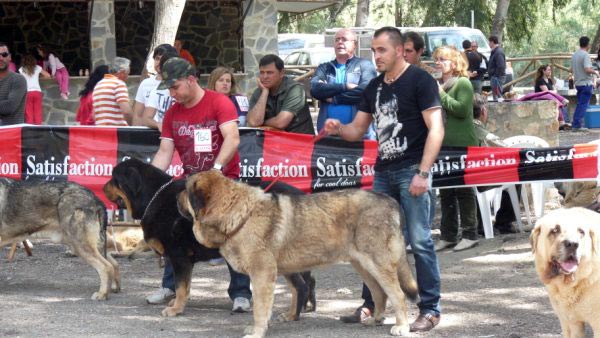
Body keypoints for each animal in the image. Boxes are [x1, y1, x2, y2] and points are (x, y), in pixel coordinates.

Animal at [105, 158, 316, 316]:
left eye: (114, 178)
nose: (103, 186)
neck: (152, 196)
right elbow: (182, 284)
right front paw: (175, 302)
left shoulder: (178, 255)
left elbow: (181, 285)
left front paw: (176, 308)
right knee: (308, 280)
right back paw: (306, 307)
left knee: (301, 284)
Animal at [180, 172, 420, 338]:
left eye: (185, 190)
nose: (175, 195)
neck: (239, 214)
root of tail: (390, 201)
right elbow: (291, 294)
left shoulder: (262, 274)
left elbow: (259, 308)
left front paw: (257, 332)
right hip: (363, 265)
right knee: (380, 293)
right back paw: (376, 319)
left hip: (378, 264)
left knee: (397, 294)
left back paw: (402, 326)